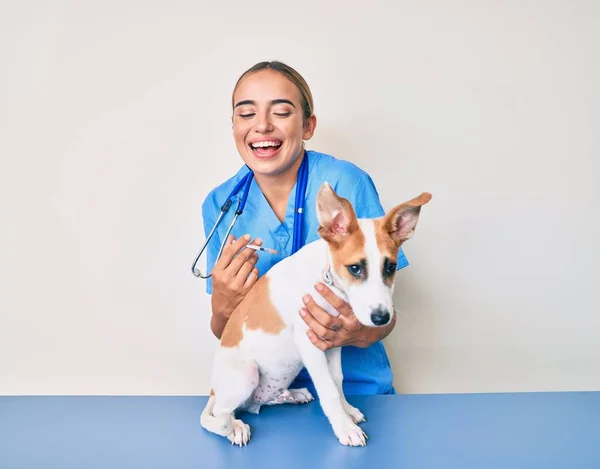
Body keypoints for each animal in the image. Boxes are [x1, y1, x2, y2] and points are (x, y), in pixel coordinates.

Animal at [202, 182, 432, 446]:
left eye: (391, 267)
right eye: (355, 268)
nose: (382, 318)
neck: (327, 276)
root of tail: (214, 390)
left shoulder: (332, 343)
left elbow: (338, 381)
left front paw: (347, 411)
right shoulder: (310, 345)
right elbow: (328, 389)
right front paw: (345, 428)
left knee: (254, 405)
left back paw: (293, 395)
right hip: (246, 374)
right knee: (219, 415)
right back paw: (234, 427)